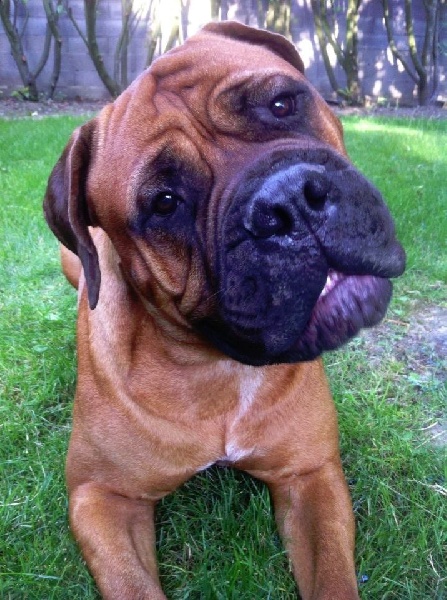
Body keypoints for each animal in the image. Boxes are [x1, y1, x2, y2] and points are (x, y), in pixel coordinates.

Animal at [43, 21, 405, 600]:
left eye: (283, 103)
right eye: (164, 203)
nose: (288, 201)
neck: (214, 370)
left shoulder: (311, 475)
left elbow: (333, 577)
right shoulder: (101, 498)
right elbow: (132, 585)